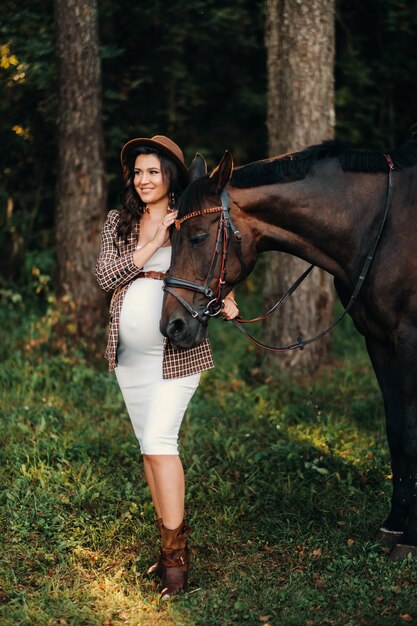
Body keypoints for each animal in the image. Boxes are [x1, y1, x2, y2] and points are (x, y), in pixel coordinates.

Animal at [161, 129, 416, 560]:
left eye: (197, 237)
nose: (172, 327)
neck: (379, 230)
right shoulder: (379, 342)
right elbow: (397, 431)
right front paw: (395, 525)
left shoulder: (409, 340)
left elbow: (412, 433)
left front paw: (411, 538)